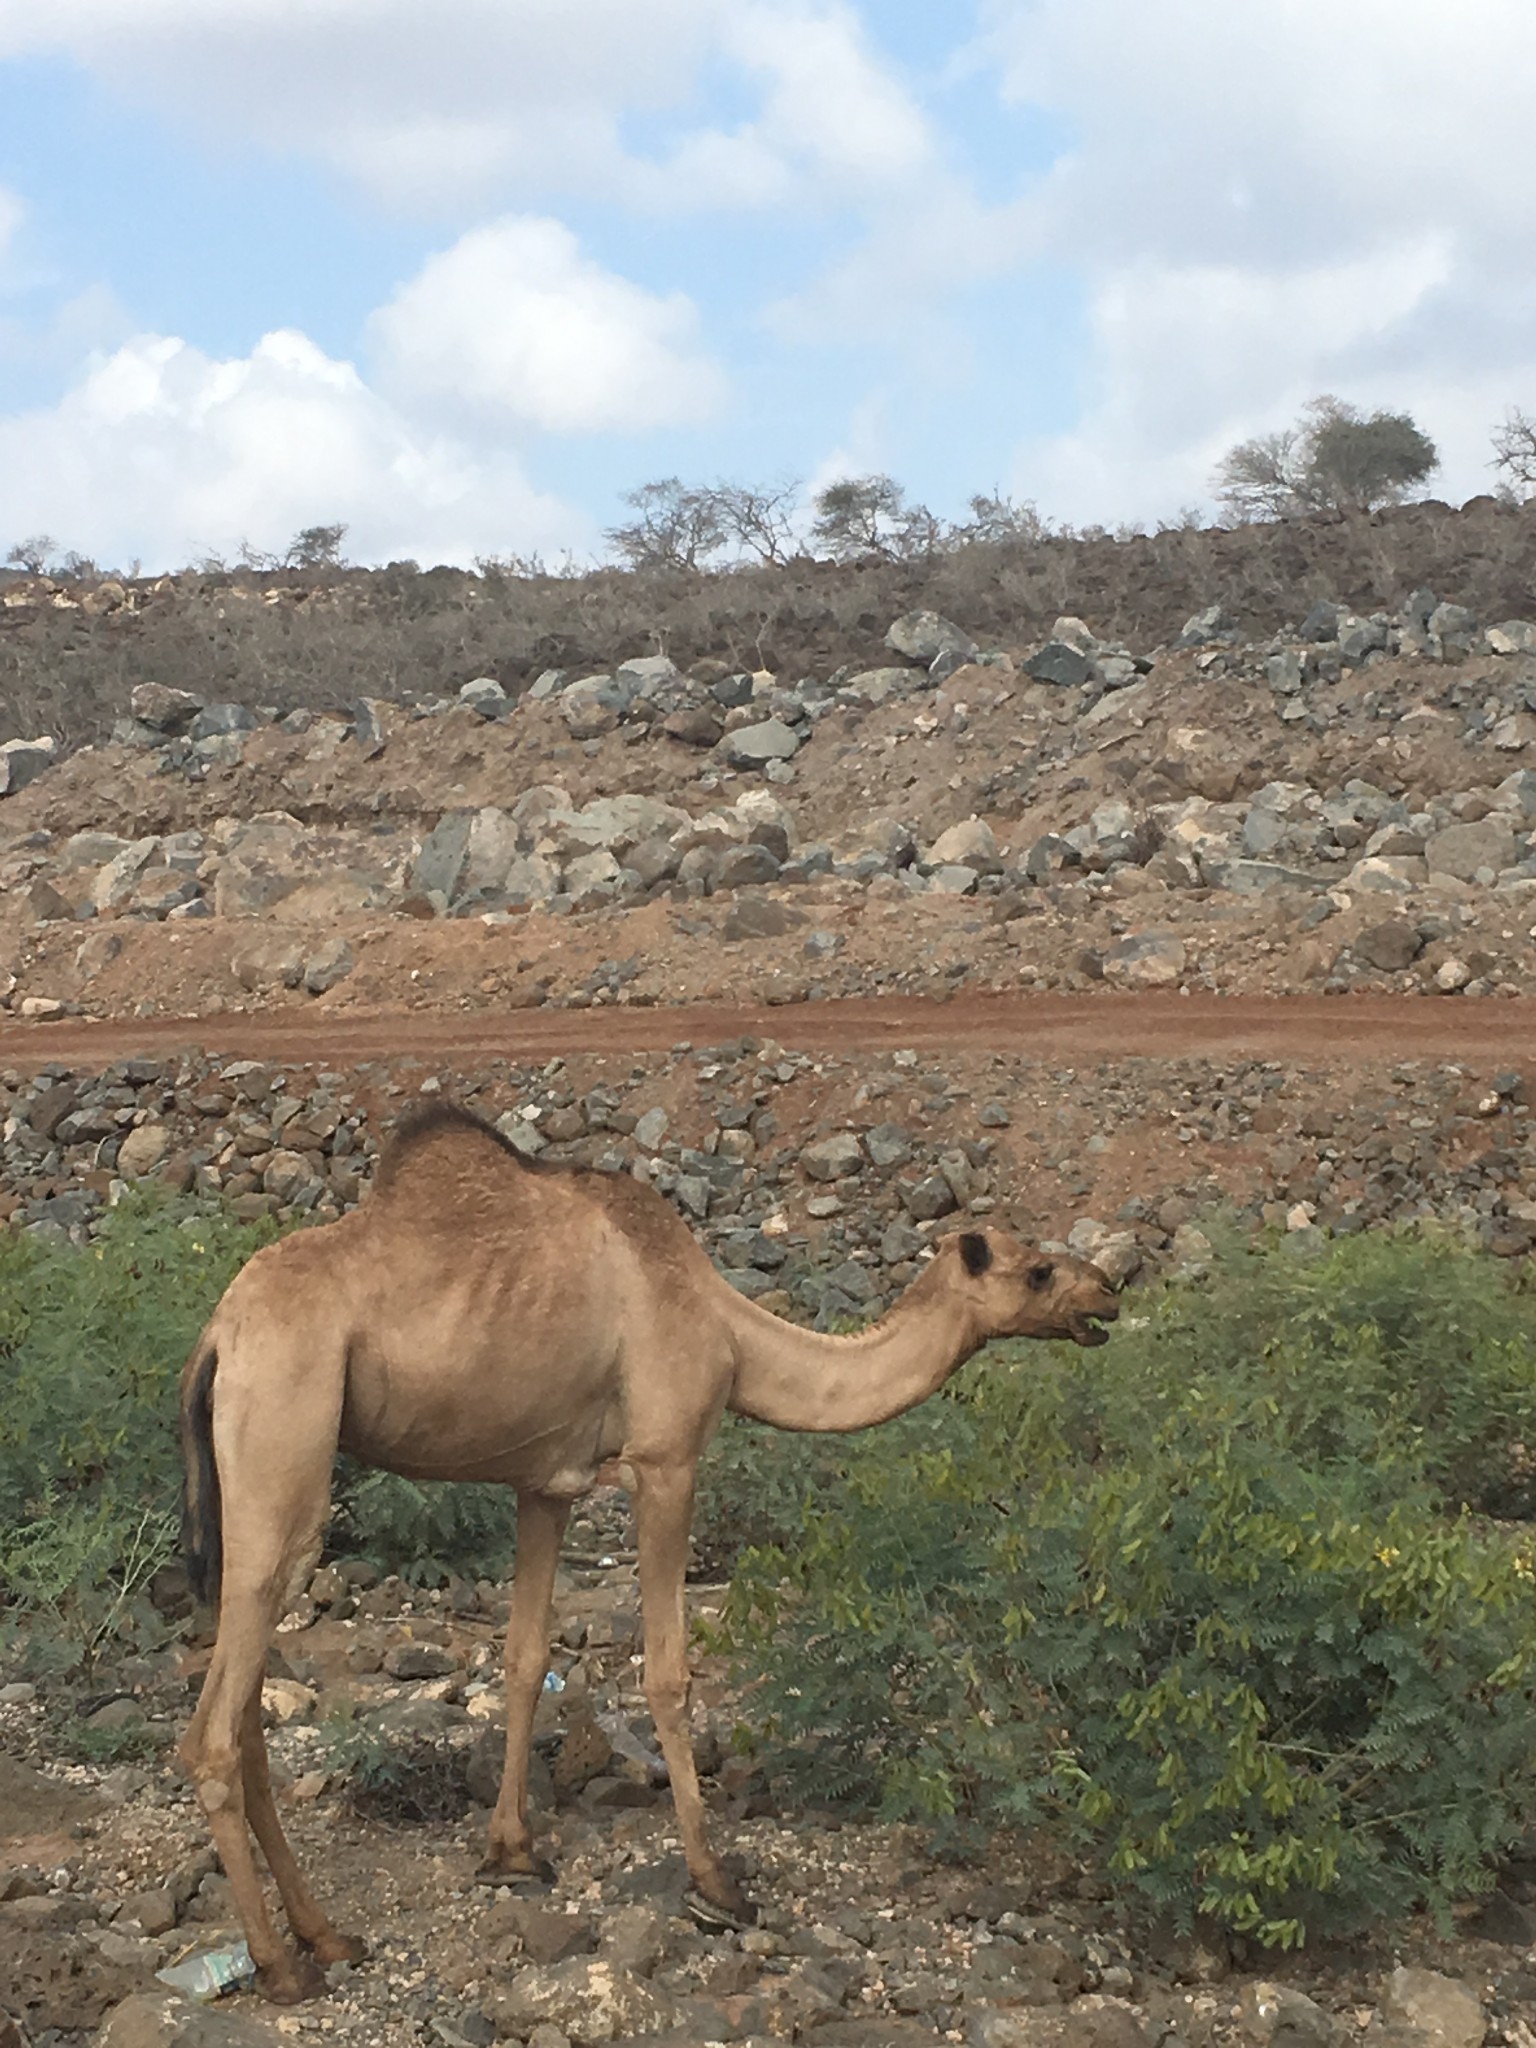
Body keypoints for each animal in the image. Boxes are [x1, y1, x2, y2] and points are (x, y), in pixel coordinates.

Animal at [180, 1105, 1122, 1998]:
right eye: (1037, 1271)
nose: (1110, 1292)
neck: (732, 1334)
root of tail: (217, 1336)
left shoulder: (547, 1483)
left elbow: (525, 1656)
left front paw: (513, 1850)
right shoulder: (666, 1460)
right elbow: (668, 1671)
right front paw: (717, 1880)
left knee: (244, 1713)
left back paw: (328, 1935)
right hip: (286, 1435)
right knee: (217, 1731)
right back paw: (282, 1966)